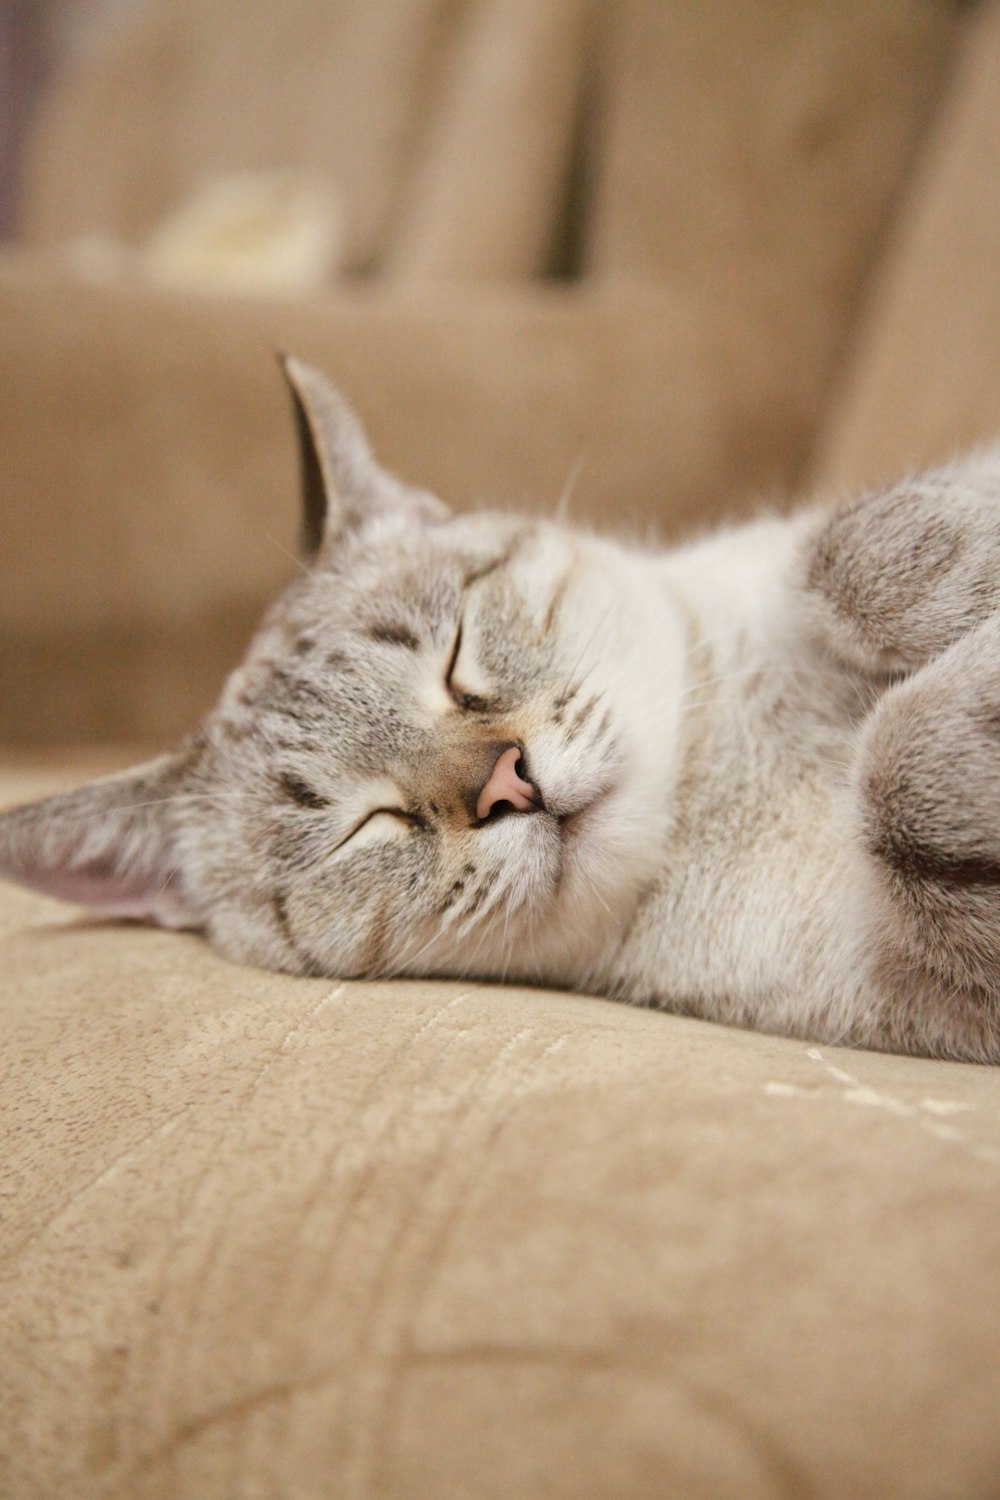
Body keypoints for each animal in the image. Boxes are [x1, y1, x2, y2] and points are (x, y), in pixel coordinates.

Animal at [1, 358, 1000, 1068]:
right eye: (365, 825)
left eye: (454, 661)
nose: (506, 785)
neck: (720, 784)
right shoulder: (928, 992)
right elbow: (901, 778)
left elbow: (848, 552)